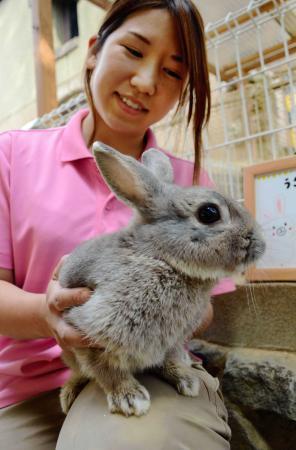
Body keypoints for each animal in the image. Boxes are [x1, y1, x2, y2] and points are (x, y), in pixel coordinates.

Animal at [58, 142, 266, 416]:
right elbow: (106, 370)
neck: (163, 259)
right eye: (209, 213)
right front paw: (130, 398)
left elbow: (169, 359)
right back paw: (69, 393)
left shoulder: (171, 342)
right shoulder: (85, 330)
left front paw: (186, 380)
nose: (261, 245)